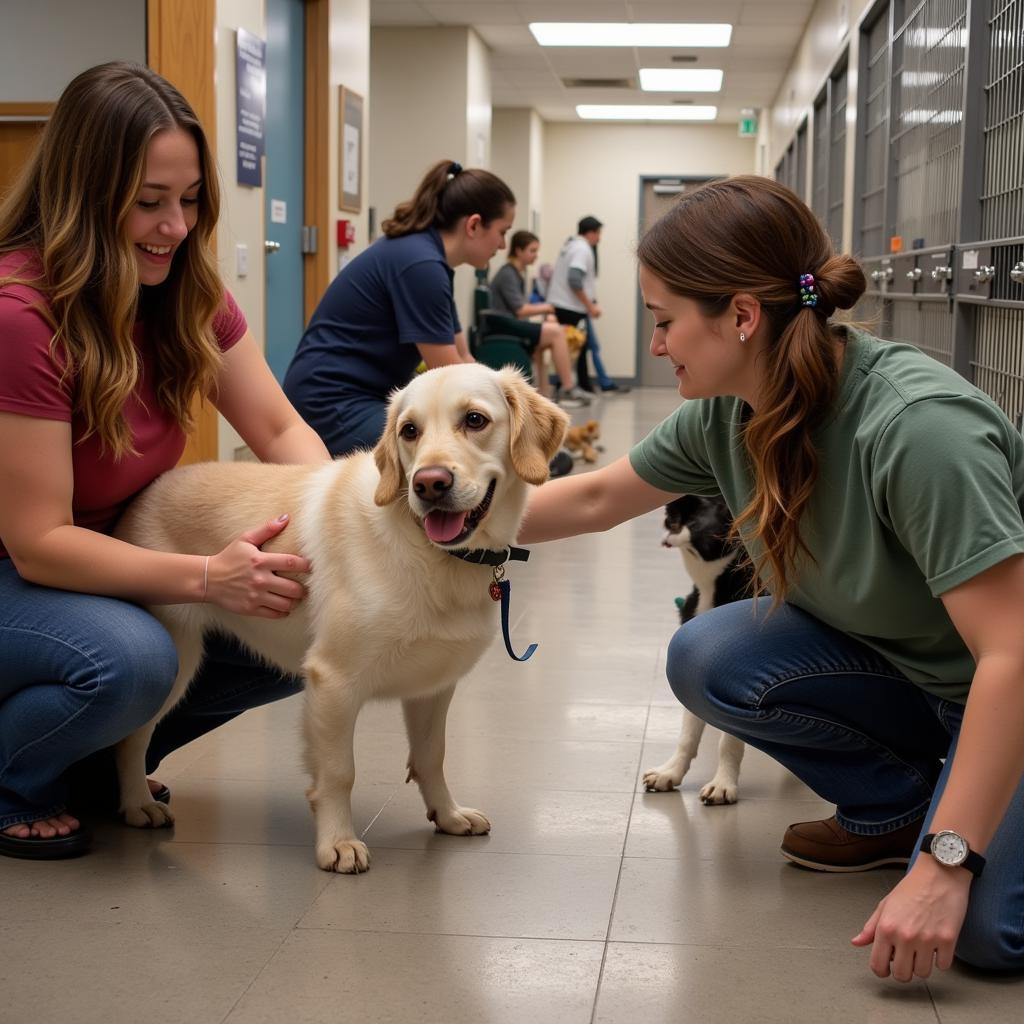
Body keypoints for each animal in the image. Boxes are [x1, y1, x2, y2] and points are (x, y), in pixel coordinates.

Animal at [117, 364, 577, 868]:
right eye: (409, 431)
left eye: (475, 420)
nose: (428, 483)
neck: (428, 550)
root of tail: (146, 492)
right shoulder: (333, 682)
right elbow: (339, 772)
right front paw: (336, 841)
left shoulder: (433, 686)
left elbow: (431, 757)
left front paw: (448, 814)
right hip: (175, 661)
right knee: (131, 739)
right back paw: (137, 803)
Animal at [647, 497, 753, 806]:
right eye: (671, 517)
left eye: (696, 523)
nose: (671, 517)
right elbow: (688, 734)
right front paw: (670, 772)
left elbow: (728, 742)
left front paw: (723, 784)